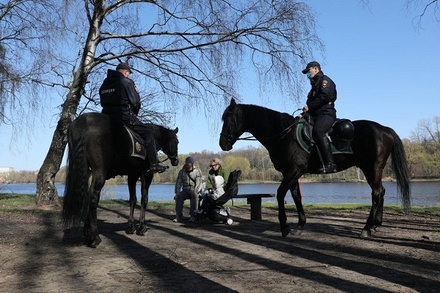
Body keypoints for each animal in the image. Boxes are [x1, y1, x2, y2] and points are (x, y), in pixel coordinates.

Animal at [62, 112, 179, 246]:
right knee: (93, 197)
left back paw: (87, 234)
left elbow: (132, 199)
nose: (176, 161)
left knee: (87, 196)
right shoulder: (146, 175)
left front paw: (131, 227)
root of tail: (83, 120)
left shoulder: (132, 175)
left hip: (86, 171)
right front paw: (141, 228)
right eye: (176, 141)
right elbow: (144, 199)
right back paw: (94, 236)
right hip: (99, 173)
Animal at [218, 98, 410, 237]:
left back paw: (367, 228)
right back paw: (376, 225)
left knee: (376, 194)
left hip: (373, 168)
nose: (222, 143)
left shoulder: (295, 170)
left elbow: (281, 194)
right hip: (370, 170)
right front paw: (300, 225)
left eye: (228, 118)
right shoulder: (291, 173)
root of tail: (384, 129)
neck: (284, 134)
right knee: (381, 192)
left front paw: (284, 227)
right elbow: (296, 197)